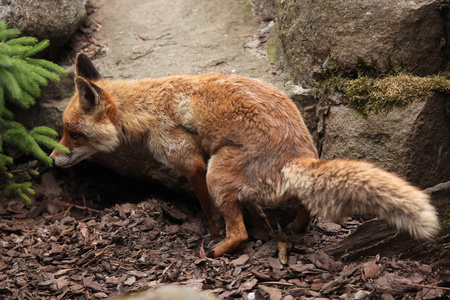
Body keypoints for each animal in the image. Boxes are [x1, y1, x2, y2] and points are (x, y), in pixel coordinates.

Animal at [50, 54, 440, 258]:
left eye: (73, 134)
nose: (51, 159)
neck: (150, 108)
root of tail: (295, 157)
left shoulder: (194, 165)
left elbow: (210, 213)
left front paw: (211, 232)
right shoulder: (230, 184)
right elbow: (255, 210)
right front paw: (265, 225)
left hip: (217, 171)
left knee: (239, 236)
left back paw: (216, 251)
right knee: (304, 206)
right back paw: (294, 229)